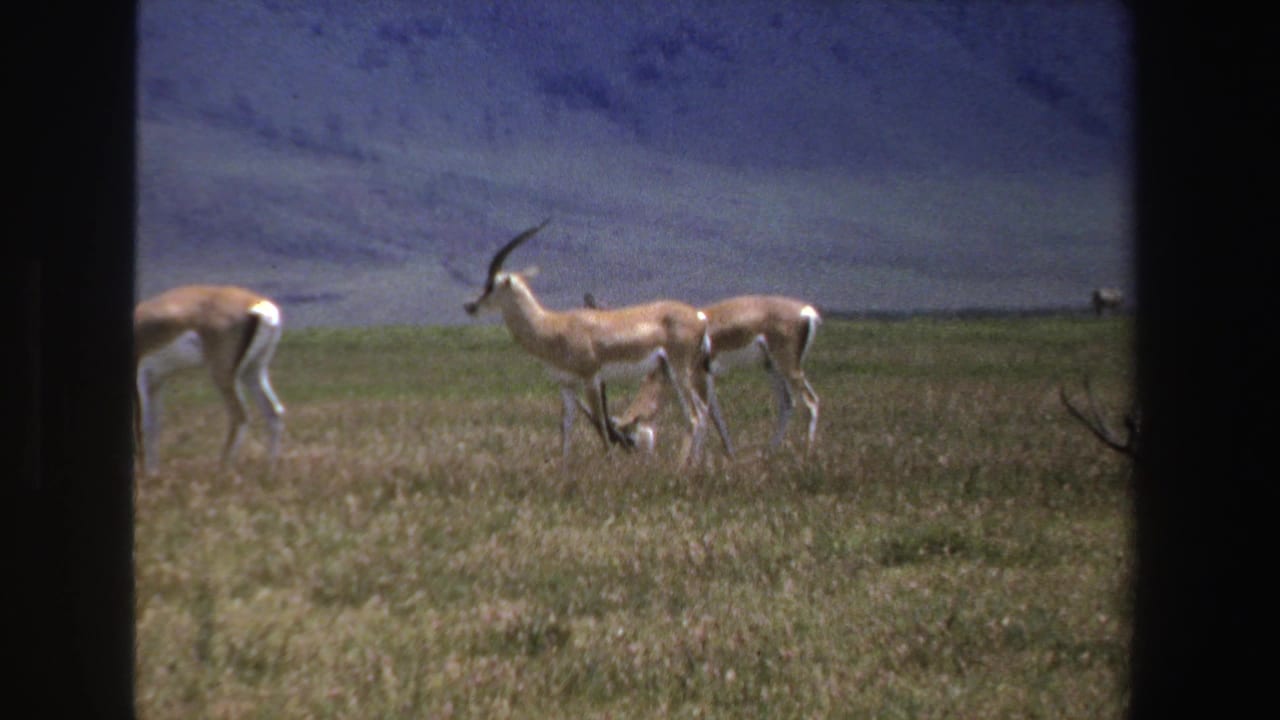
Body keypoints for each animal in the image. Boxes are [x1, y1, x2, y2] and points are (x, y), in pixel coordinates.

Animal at [134, 285, 286, 475]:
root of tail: (259, 306)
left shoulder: (140, 379)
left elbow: (142, 427)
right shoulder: (155, 382)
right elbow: (153, 427)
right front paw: (153, 474)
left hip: (222, 374)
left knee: (240, 416)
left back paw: (221, 471)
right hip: (252, 372)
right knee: (274, 412)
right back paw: (269, 472)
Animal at [463, 221, 713, 465]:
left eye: (492, 285)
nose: (470, 306)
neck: (553, 326)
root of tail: (699, 318)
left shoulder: (591, 378)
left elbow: (601, 425)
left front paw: (611, 465)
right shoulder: (566, 384)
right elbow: (566, 426)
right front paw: (564, 468)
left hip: (679, 370)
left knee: (694, 416)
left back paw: (680, 468)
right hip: (672, 372)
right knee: (702, 412)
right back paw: (695, 466)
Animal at [586, 294, 820, 458]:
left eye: (630, 439)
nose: (639, 462)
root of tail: (808, 312)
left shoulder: (698, 375)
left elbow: (704, 413)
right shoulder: (705, 377)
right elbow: (715, 412)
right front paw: (730, 455)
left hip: (788, 365)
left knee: (811, 401)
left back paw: (808, 455)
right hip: (772, 366)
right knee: (787, 402)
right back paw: (768, 453)